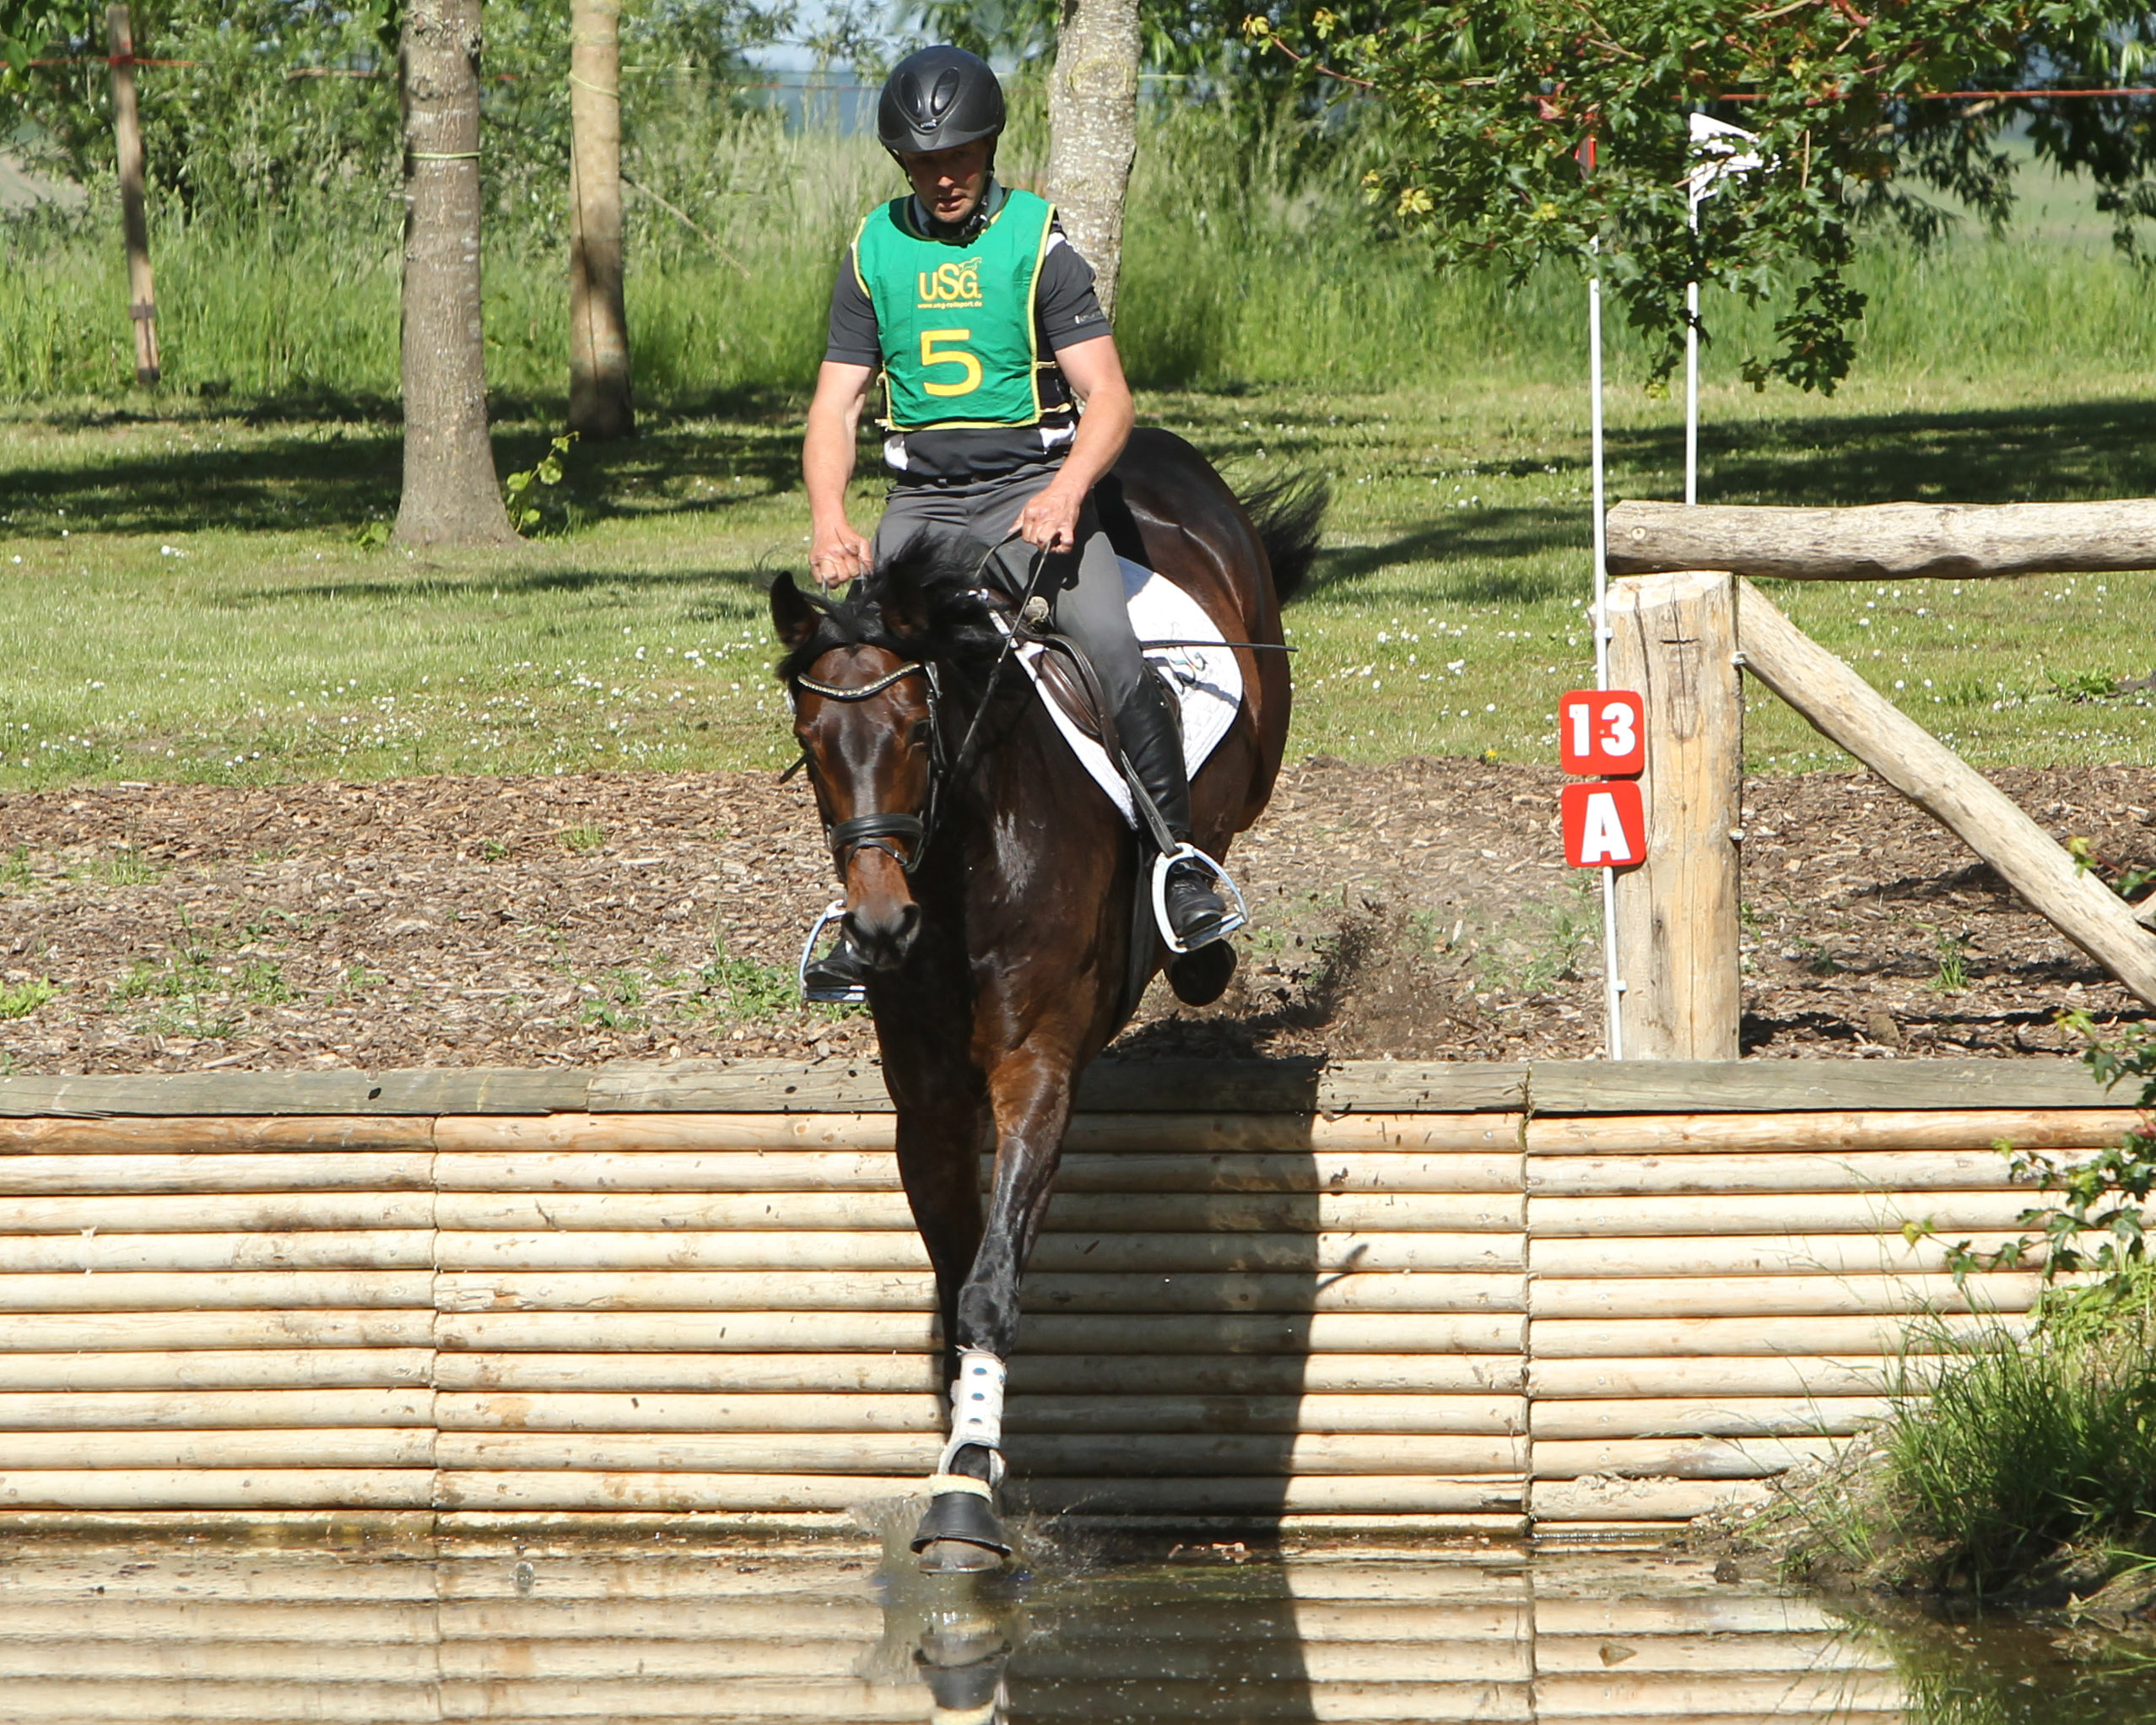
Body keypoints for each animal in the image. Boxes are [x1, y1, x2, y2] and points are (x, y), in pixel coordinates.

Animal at [767, 424, 1319, 1570]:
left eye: (917, 731)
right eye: (811, 749)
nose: (878, 929)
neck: (958, 873)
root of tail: (1157, 450)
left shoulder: (1034, 1070)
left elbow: (991, 1281)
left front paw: (967, 1492)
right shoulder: (928, 1100)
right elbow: (952, 1277)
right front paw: (958, 1450)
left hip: (1246, 736)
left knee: (1210, 814)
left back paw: (1192, 919)